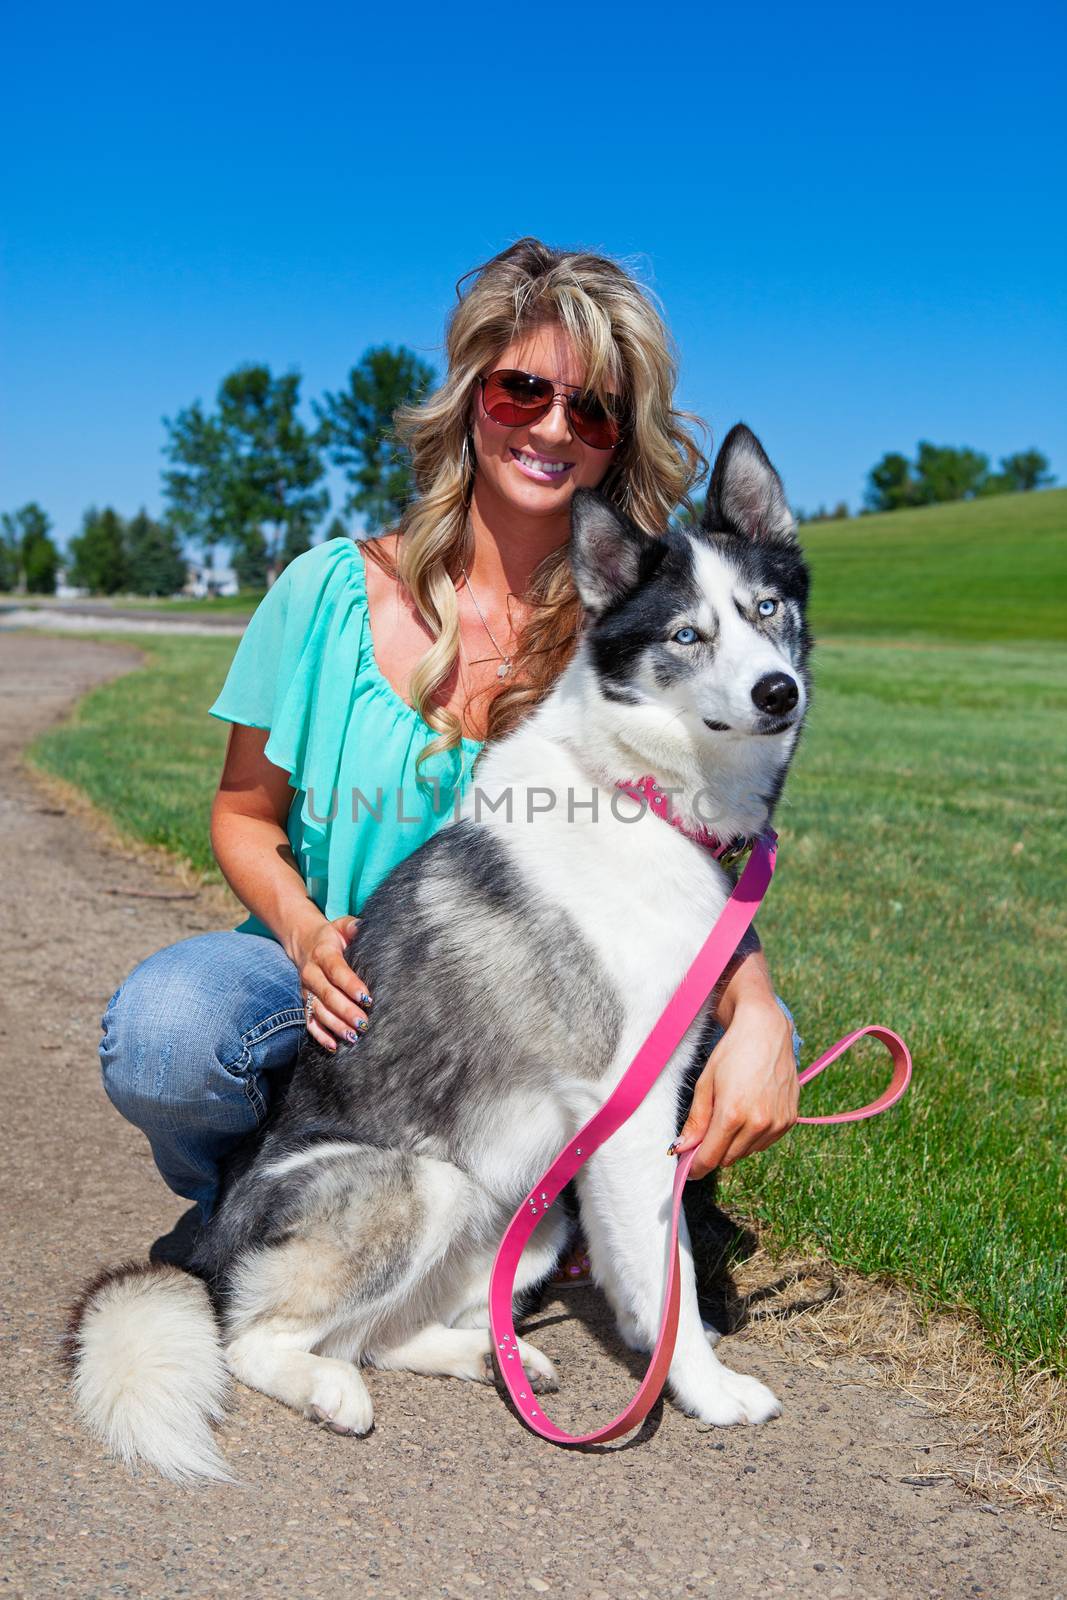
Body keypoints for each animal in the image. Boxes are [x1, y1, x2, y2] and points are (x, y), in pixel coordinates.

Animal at [68, 428, 809, 1484]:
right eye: (685, 635)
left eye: (766, 611)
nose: (777, 691)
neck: (643, 791)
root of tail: (210, 1253)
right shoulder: (625, 1102)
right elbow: (664, 1275)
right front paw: (701, 1386)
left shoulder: (645, 1105)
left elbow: (647, 1265)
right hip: (424, 1182)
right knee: (257, 1337)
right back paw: (332, 1391)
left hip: (533, 1214)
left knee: (377, 1333)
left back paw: (493, 1357)